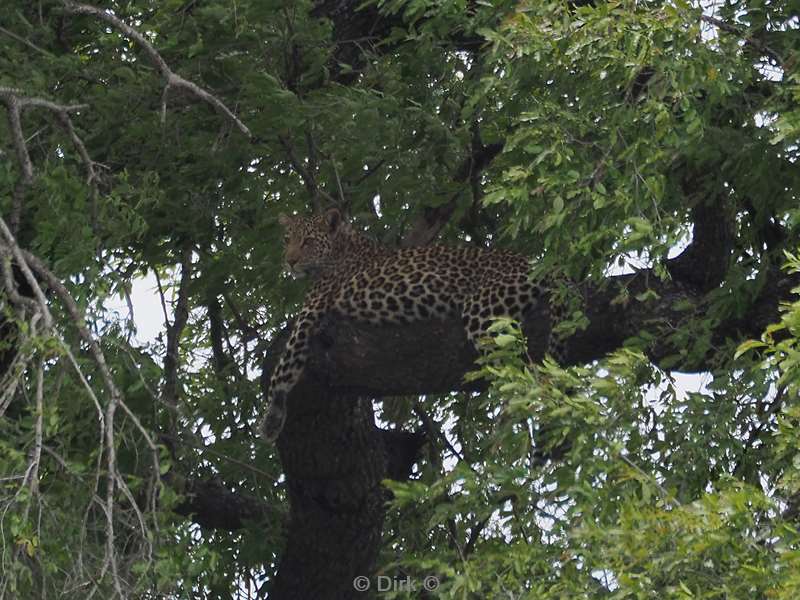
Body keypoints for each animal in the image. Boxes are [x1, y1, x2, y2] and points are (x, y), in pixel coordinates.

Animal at [260, 209, 560, 442]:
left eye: (308, 241)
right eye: (287, 240)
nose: (290, 261)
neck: (342, 245)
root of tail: (538, 263)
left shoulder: (310, 312)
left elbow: (283, 367)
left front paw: (272, 418)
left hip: (482, 312)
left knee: (520, 370)